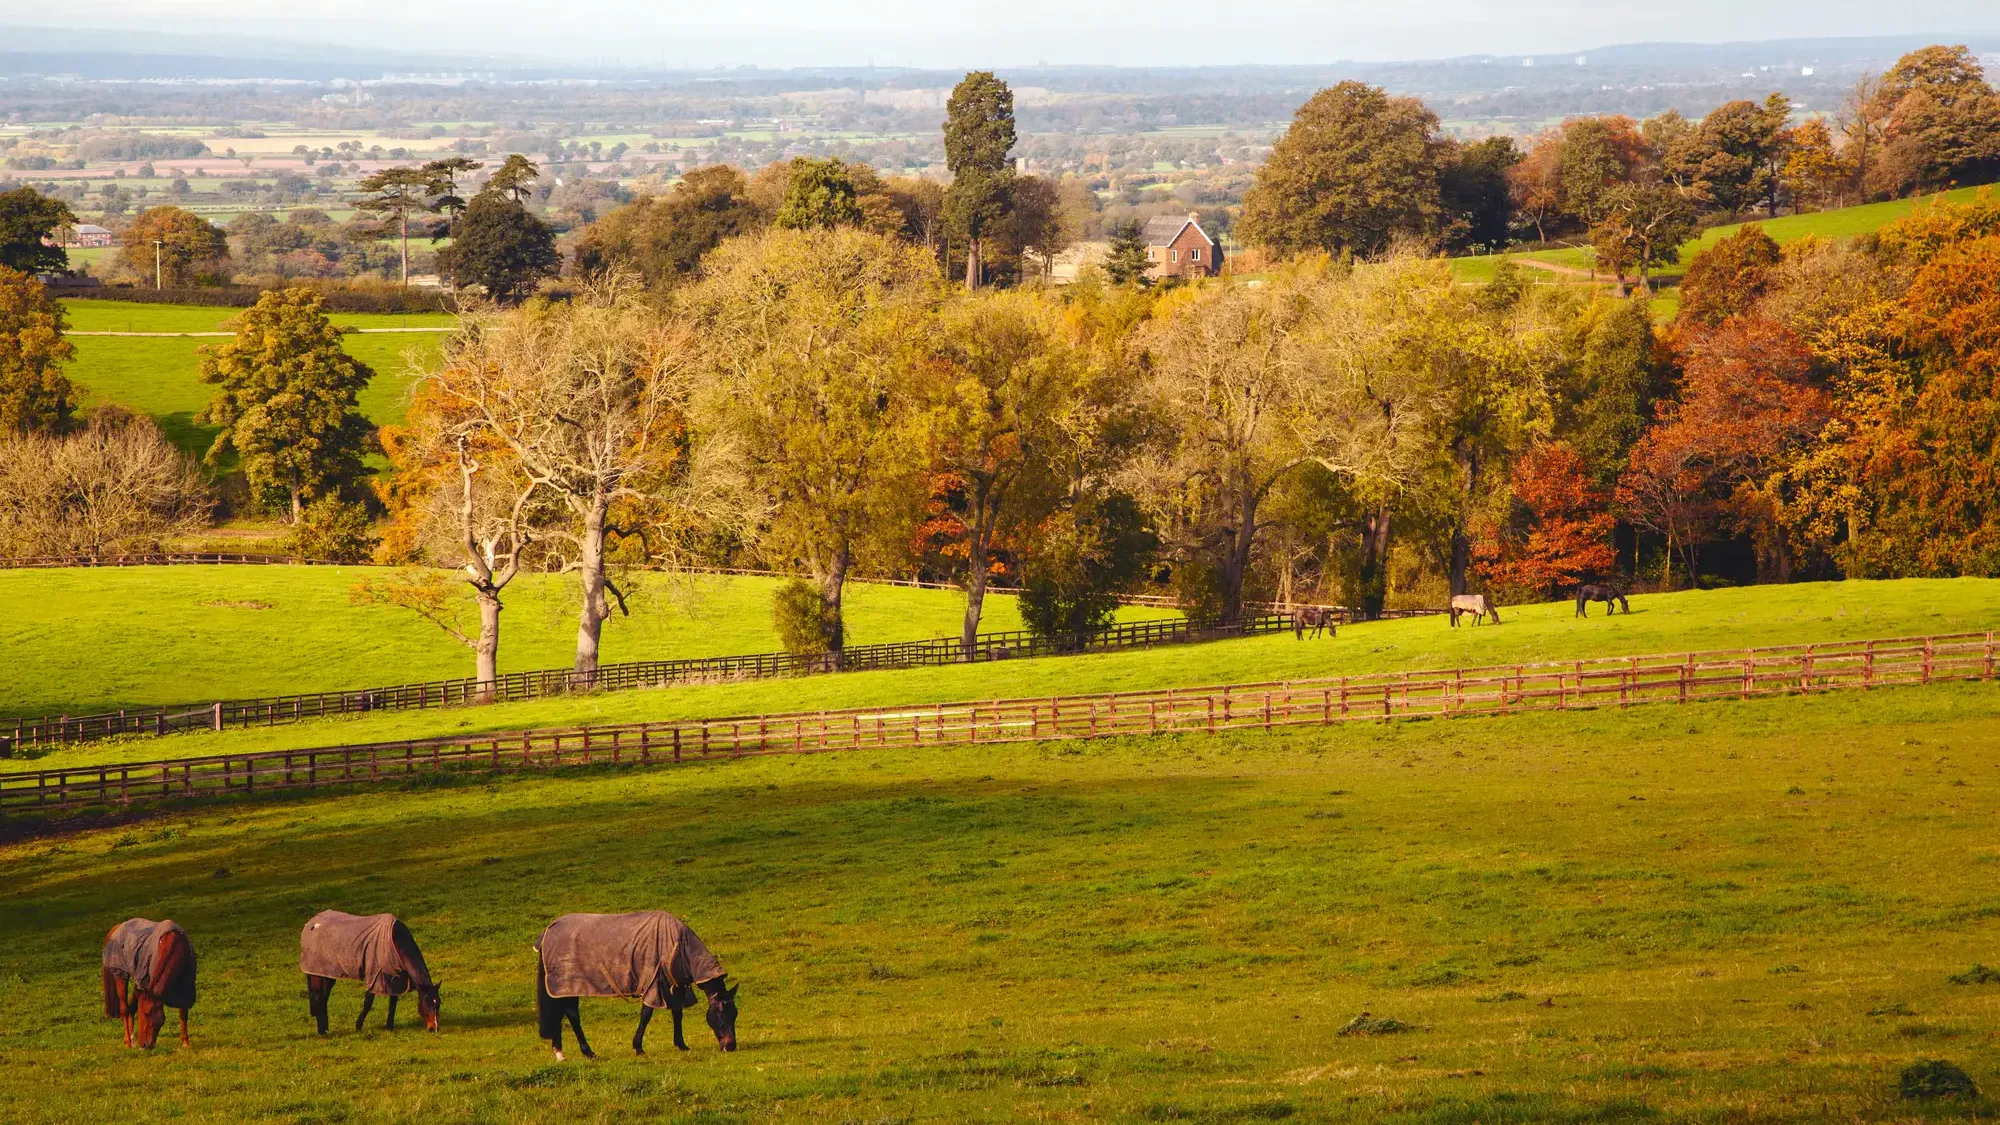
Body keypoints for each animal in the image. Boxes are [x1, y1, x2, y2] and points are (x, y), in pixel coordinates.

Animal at [101, 918, 196, 1049]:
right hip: (121, 975)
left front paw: (186, 1042)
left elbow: (183, 1013)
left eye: (147, 1014)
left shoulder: (185, 986)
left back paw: (132, 1040)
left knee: (131, 1008)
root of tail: (118, 927)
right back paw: (128, 1041)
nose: (145, 1045)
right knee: (124, 1009)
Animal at [300, 910, 440, 1034]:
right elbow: (368, 1002)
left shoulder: (395, 979)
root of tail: (312, 922)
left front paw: (389, 1026)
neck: (394, 941)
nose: (433, 1028)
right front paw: (358, 1026)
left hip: (327, 974)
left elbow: (393, 1003)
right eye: (427, 1003)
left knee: (323, 996)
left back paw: (324, 1028)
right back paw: (321, 1030)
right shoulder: (375, 976)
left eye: (438, 1003)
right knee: (318, 996)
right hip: (317, 972)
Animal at [534, 911, 738, 1060]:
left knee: (561, 1014)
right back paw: (587, 1052)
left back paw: (560, 1052)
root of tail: (548, 930)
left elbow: (677, 1014)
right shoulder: (653, 985)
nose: (730, 1046)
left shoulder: (675, 987)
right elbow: (646, 1015)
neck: (677, 944)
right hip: (567, 985)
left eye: (735, 1013)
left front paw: (681, 1044)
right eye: (721, 1013)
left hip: (566, 989)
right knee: (572, 1015)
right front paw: (638, 1047)